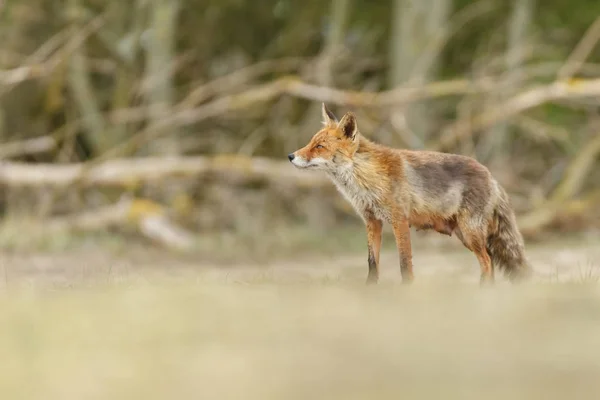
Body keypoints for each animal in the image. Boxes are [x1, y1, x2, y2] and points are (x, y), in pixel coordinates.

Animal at [288, 103, 532, 284]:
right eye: (310, 142)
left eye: (319, 147)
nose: (290, 156)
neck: (367, 178)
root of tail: (492, 176)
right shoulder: (372, 221)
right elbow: (372, 264)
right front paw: (370, 292)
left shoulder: (399, 220)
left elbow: (404, 264)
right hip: (465, 235)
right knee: (489, 262)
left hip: (470, 233)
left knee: (488, 263)